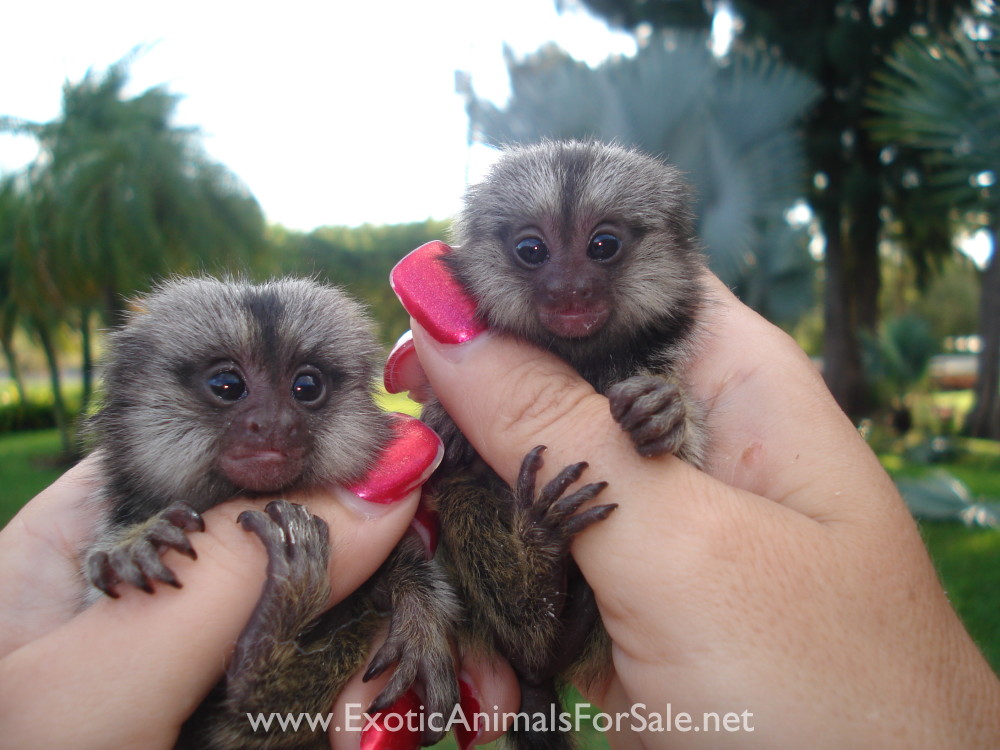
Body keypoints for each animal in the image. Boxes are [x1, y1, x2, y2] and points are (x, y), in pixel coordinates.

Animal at [413, 140, 709, 750]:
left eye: (603, 246)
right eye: (532, 250)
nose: (569, 287)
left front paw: (667, 414)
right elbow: (448, 468)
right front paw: (446, 423)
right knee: (461, 498)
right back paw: (543, 594)